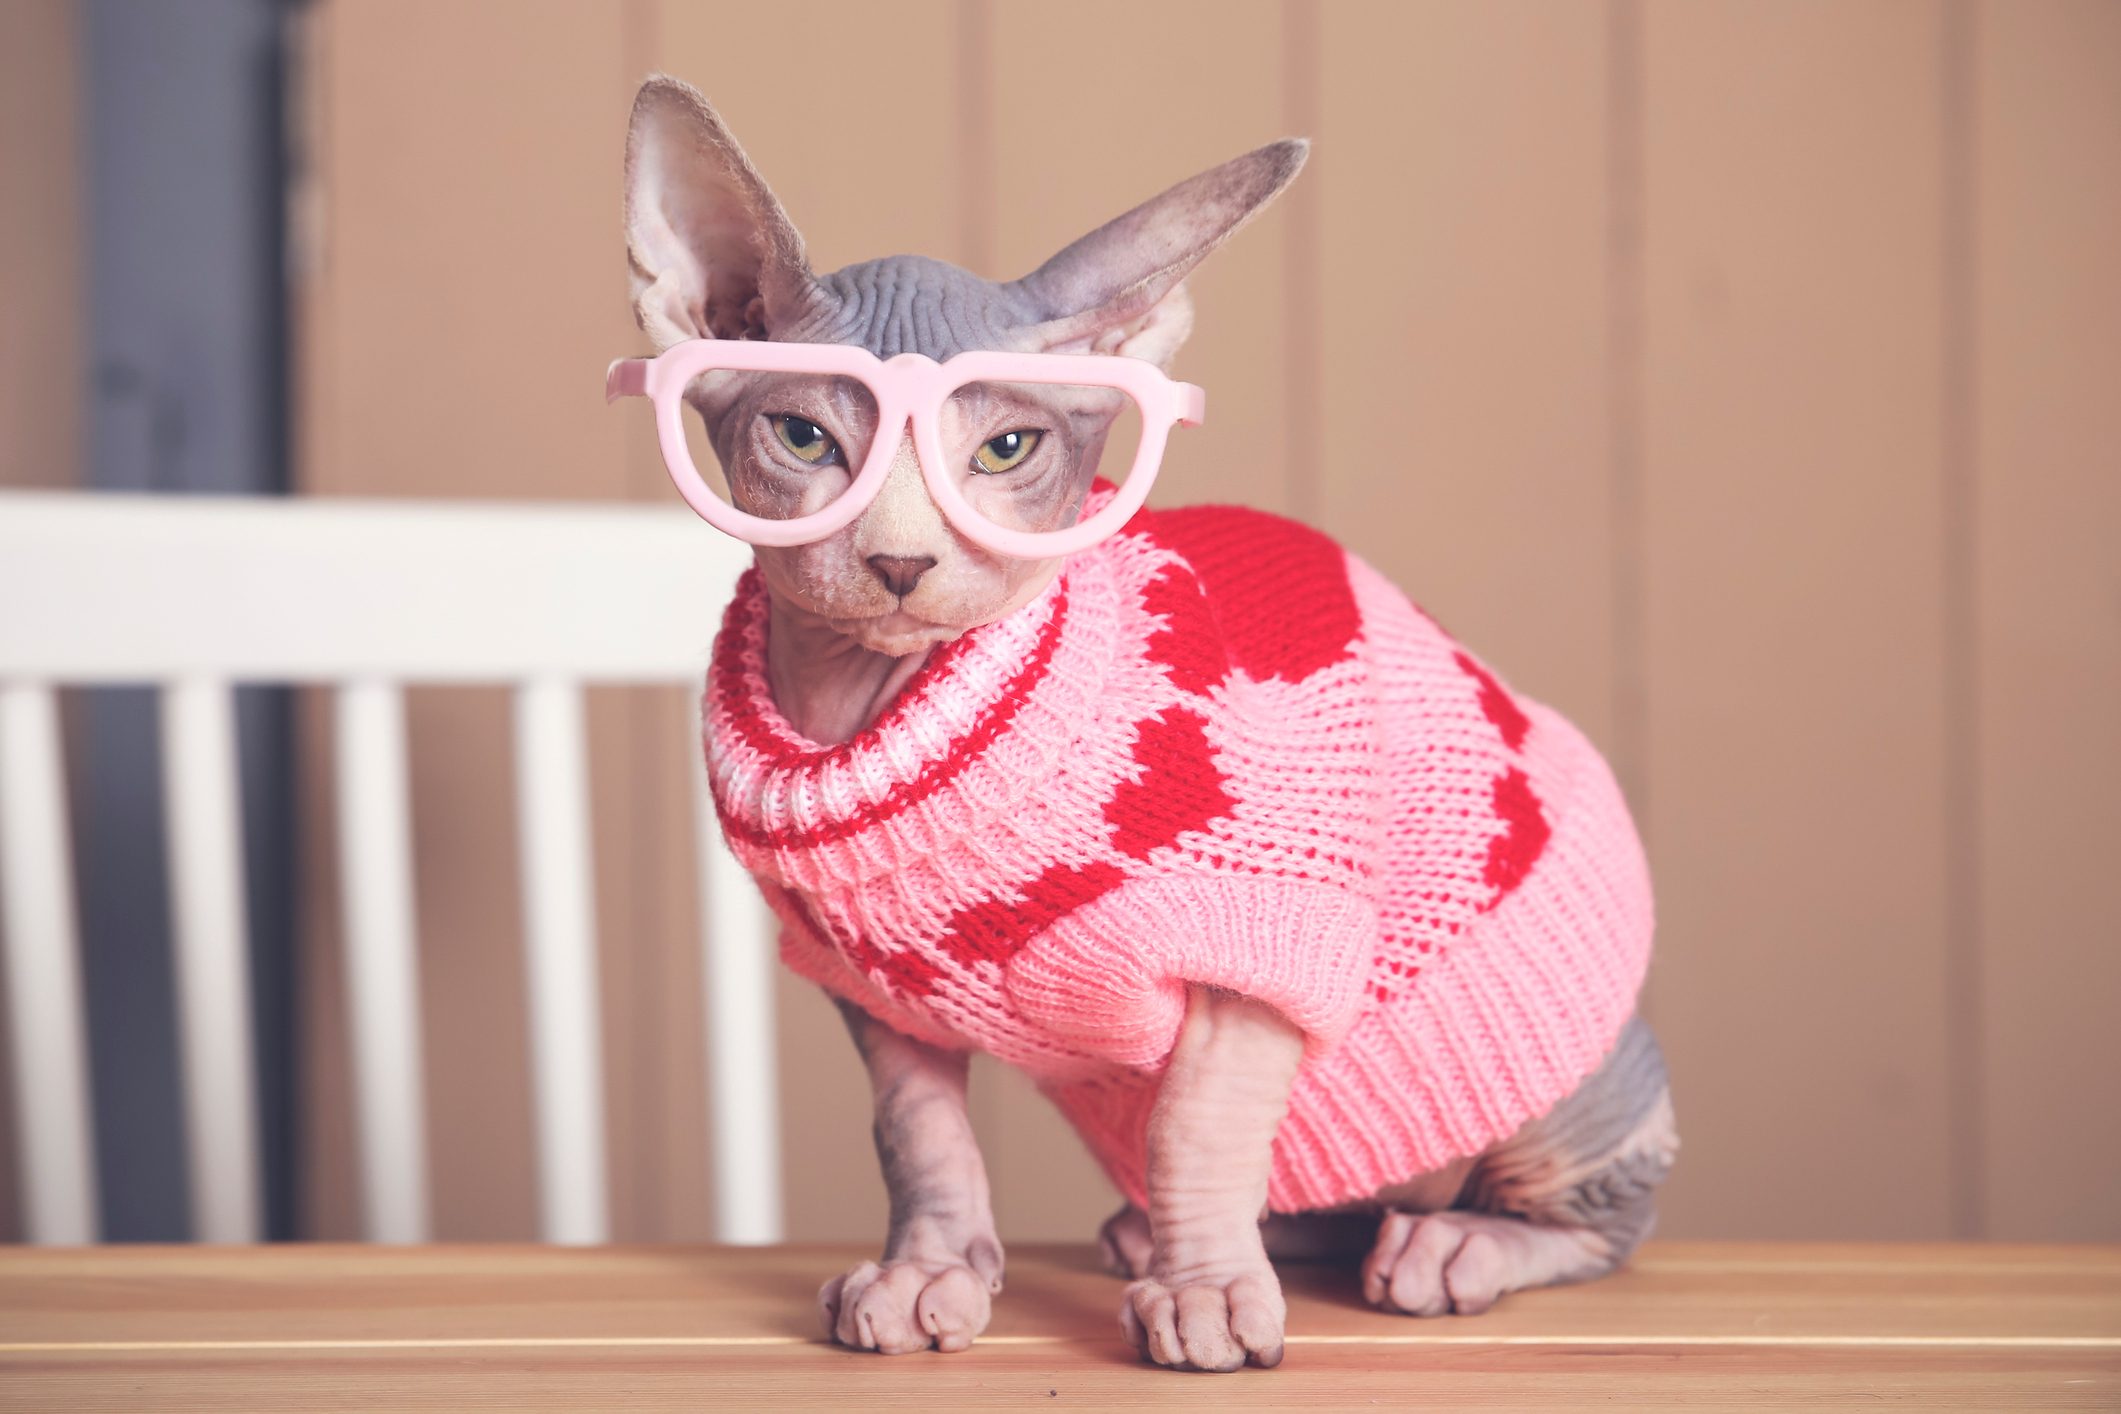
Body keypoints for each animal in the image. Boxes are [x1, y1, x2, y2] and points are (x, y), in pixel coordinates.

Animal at [619, 74, 1679, 1373]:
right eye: (806, 437)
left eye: (1007, 449)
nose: (901, 563)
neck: (881, 704)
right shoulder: (871, 986)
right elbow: (919, 1135)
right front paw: (930, 1271)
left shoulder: (1263, 932)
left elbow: (1197, 1126)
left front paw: (1211, 1295)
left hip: (1560, 1079)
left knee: (1600, 1220)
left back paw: (1455, 1246)